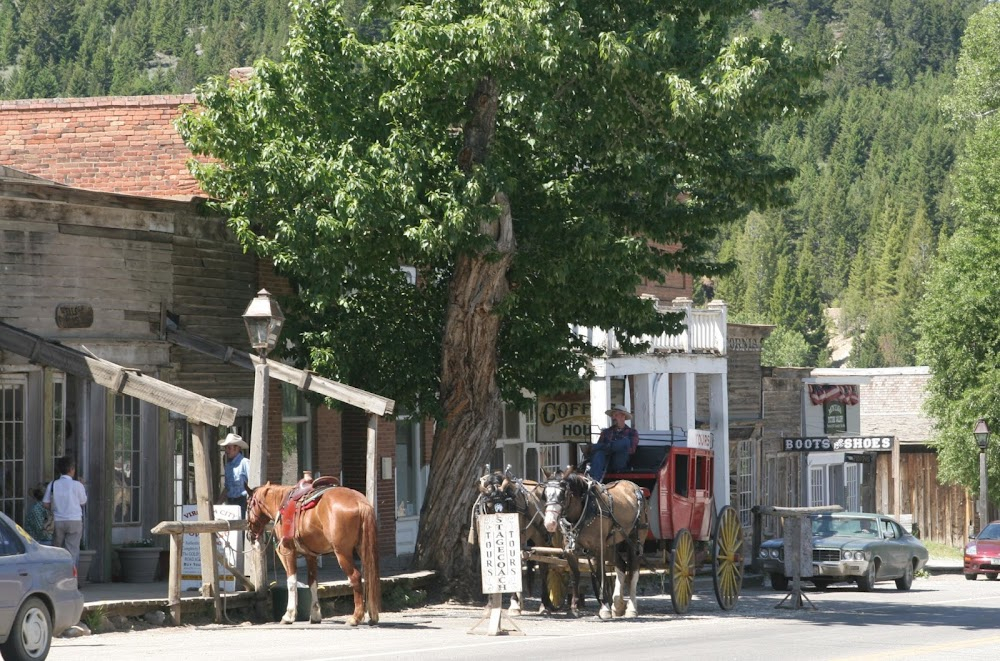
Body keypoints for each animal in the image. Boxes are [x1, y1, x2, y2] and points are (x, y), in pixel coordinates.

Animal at [244, 480, 380, 624]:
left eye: (247, 506)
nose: (249, 535)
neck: (281, 504)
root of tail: (359, 501)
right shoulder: (310, 555)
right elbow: (313, 582)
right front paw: (315, 615)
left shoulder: (288, 551)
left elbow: (291, 582)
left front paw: (289, 615)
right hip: (363, 549)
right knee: (370, 577)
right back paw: (372, 616)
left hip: (342, 553)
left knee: (355, 577)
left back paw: (355, 617)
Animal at [472, 470, 560, 612]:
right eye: (489, 506)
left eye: (505, 507)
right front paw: (490, 603)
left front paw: (513, 603)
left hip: (540, 537)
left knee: (543, 567)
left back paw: (544, 603)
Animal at [540, 466, 648, 616]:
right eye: (545, 494)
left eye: (563, 493)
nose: (549, 523)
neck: (583, 511)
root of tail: (634, 487)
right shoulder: (569, 550)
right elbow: (575, 576)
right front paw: (574, 607)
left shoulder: (598, 548)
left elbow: (599, 574)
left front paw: (604, 607)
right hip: (611, 544)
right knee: (621, 566)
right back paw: (617, 604)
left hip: (636, 539)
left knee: (633, 571)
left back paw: (631, 608)